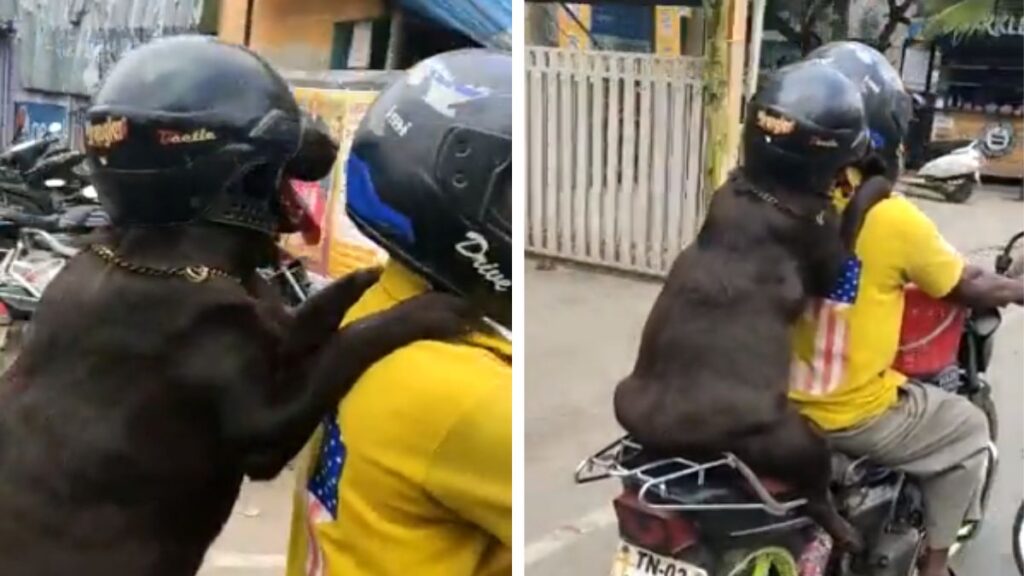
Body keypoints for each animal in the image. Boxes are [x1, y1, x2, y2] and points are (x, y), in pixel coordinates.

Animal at [0, 35, 475, 573]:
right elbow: (347, 344)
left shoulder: (278, 329)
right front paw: (424, 312)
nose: (335, 141)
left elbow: (319, 310)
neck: (172, 256)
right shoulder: (267, 426)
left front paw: (367, 279)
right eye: (287, 122)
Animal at [610, 59, 892, 553]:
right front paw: (879, 179)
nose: (871, 146)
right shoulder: (828, 247)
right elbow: (856, 207)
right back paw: (845, 531)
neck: (764, 186)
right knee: (816, 492)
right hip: (798, 441)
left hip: (623, 398)